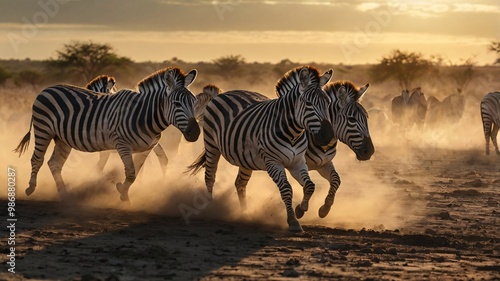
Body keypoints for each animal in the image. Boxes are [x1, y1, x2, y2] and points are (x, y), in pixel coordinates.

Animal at [12, 66, 199, 200]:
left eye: (194, 102)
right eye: (176, 103)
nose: (195, 133)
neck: (144, 115)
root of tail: (47, 89)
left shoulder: (146, 148)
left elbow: (137, 171)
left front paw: (124, 190)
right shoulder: (121, 145)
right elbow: (130, 172)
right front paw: (123, 193)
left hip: (62, 138)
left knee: (55, 164)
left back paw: (64, 194)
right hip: (43, 129)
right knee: (37, 159)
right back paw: (31, 188)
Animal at [188, 66, 336, 232]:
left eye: (328, 102)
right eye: (309, 103)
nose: (328, 135)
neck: (293, 133)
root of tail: (222, 93)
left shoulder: (297, 162)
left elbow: (310, 185)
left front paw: (301, 209)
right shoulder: (272, 162)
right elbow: (287, 189)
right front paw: (293, 221)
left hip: (245, 158)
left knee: (240, 183)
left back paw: (244, 214)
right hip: (211, 145)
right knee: (210, 177)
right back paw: (211, 207)